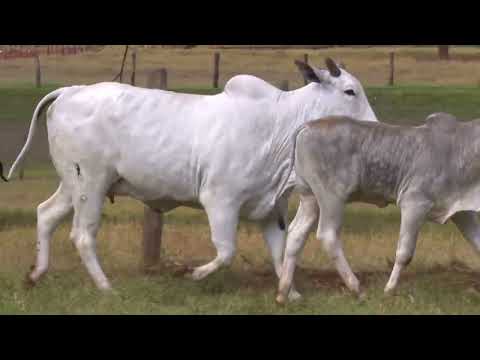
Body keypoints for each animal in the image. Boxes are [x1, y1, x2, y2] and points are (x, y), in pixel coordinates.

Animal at [5, 57, 376, 296]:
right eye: (349, 91)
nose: (373, 124)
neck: (278, 128)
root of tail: (70, 90)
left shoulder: (271, 209)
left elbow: (279, 251)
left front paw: (292, 294)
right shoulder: (220, 200)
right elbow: (225, 252)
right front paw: (194, 274)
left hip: (72, 183)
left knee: (46, 214)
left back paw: (36, 274)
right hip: (90, 184)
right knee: (82, 234)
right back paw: (105, 287)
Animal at [276, 112, 480, 304]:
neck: (458, 150)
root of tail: (308, 126)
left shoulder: (462, 212)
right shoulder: (414, 203)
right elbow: (404, 253)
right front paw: (389, 290)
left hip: (310, 198)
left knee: (296, 234)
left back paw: (285, 293)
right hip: (332, 198)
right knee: (328, 235)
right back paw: (356, 288)